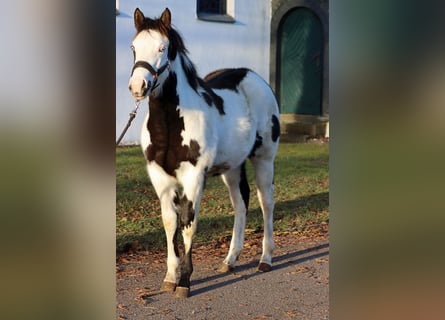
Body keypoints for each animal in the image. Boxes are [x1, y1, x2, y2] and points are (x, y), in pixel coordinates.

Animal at [126, 6, 280, 298]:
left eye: (163, 47)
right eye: (133, 47)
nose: (138, 86)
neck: (170, 126)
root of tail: (254, 78)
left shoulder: (194, 177)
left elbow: (189, 223)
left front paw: (185, 282)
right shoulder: (160, 178)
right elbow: (170, 222)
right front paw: (170, 277)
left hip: (264, 159)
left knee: (266, 202)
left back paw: (266, 259)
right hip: (232, 167)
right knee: (240, 203)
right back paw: (230, 260)